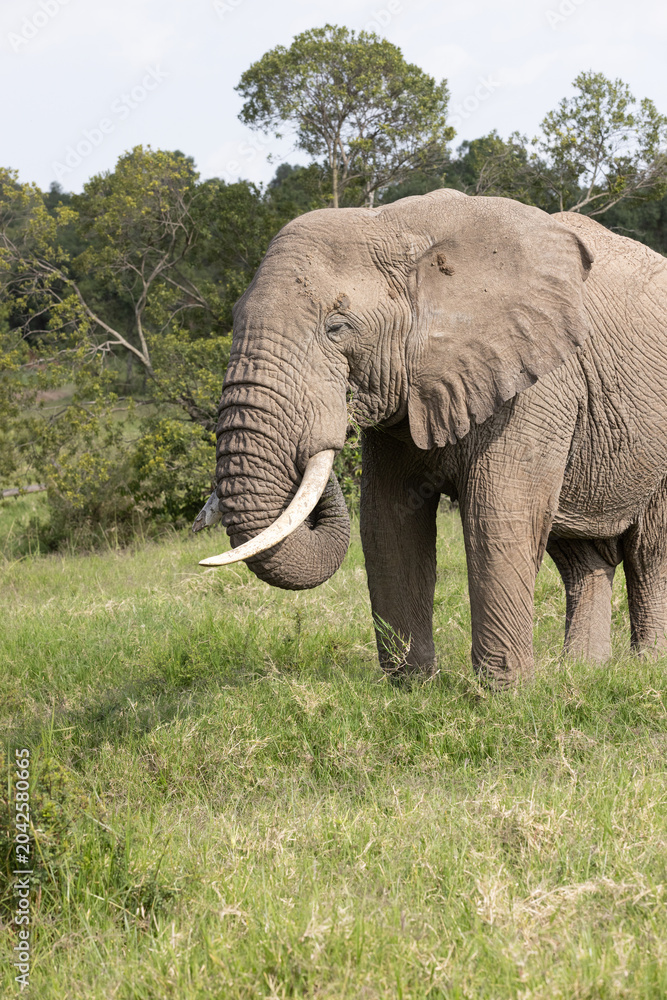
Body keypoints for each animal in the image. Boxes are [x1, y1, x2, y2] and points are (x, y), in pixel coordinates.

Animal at [194, 189, 667, 688]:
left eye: (337, 326)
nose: (338, 415)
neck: (396, 225)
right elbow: (387, 520)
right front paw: (411, 688)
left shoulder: (538, 383)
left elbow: (498, 515)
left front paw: (502, 694)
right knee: (579, 556)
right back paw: (583, 671)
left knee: (649, 551)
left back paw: (646, 666)